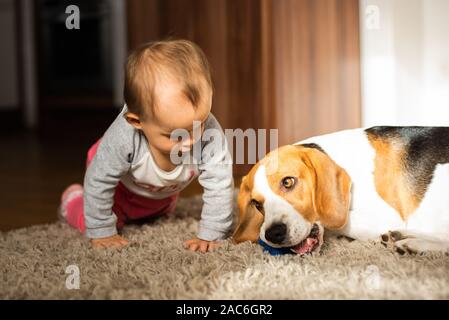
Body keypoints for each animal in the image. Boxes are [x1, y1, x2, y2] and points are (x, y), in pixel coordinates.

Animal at [233, 127, 448, 255]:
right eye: (257, 204)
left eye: (288, 182)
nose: (273, 234)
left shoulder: (386, 215)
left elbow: (338, 223)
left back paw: (413, 244)